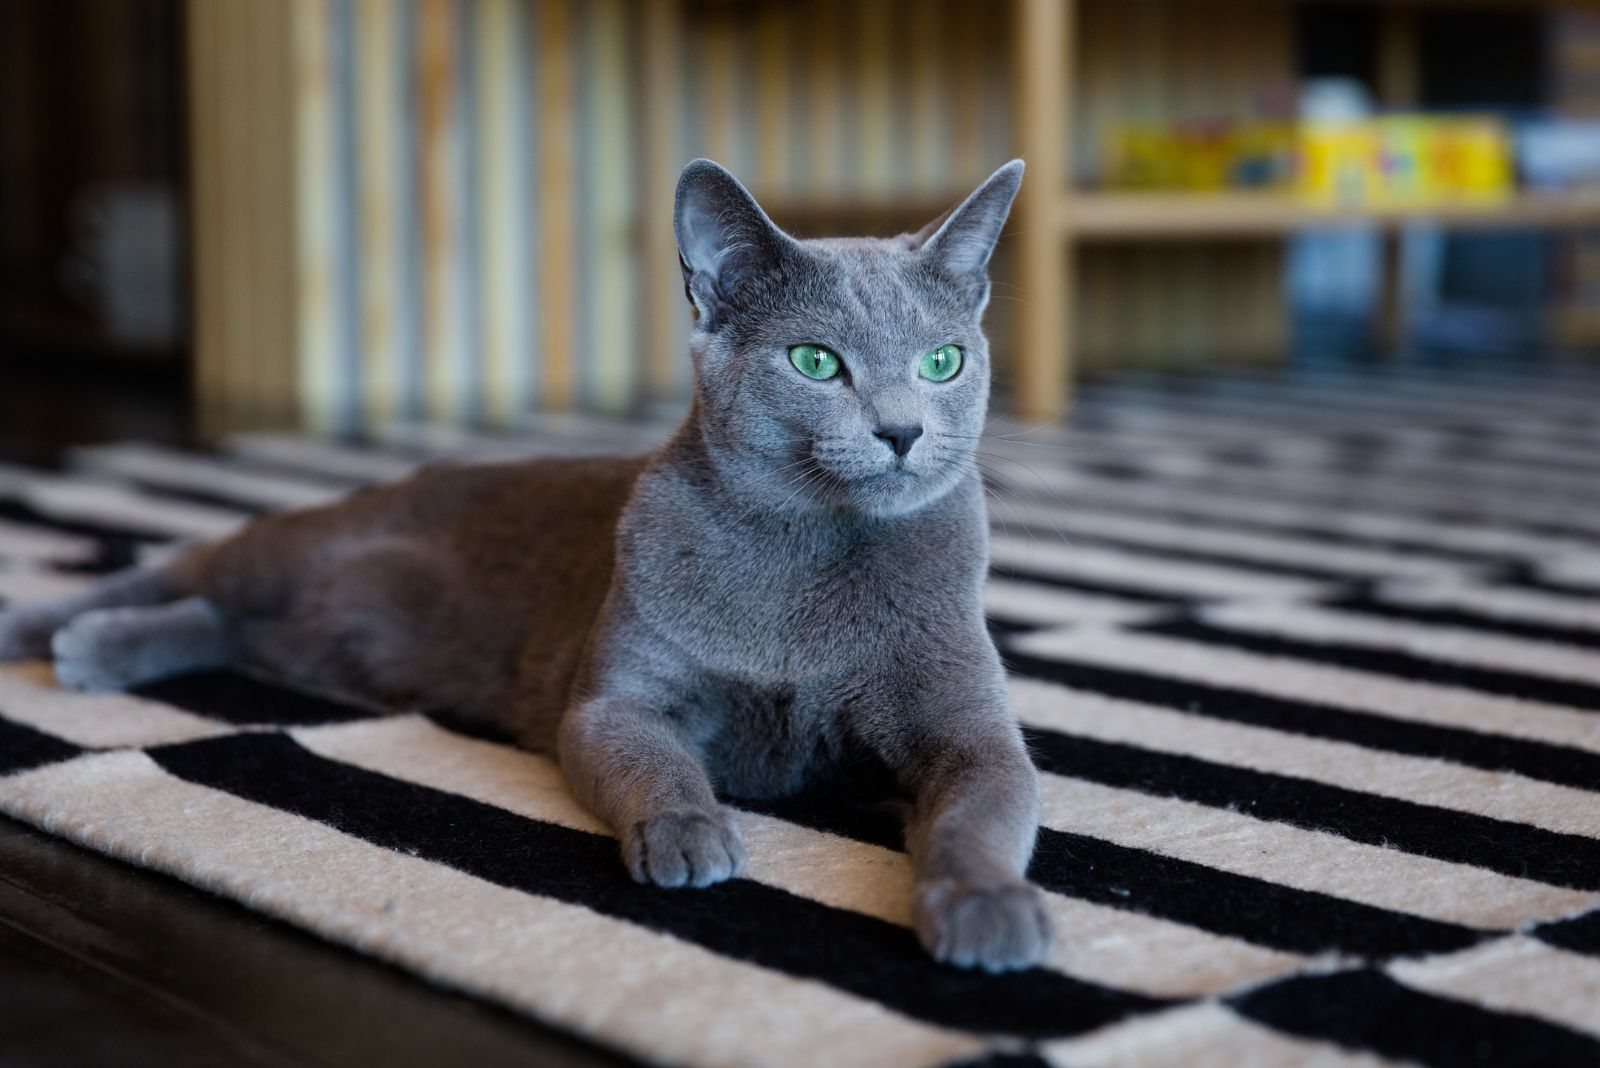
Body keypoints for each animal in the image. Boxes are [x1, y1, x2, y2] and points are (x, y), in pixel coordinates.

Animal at [3, 160, 1049, 978]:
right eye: (815, 362)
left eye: (944, 362)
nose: (903, 430)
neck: (813, 556)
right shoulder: (615, 700)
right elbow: (656, 759)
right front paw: (690, 833)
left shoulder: (969, 728)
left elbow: (985, 807)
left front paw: (991, 909)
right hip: (297, 546)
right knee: (187, 565)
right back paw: (59, 630)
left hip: (326, 632)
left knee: (230, 625)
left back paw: (102, 646)